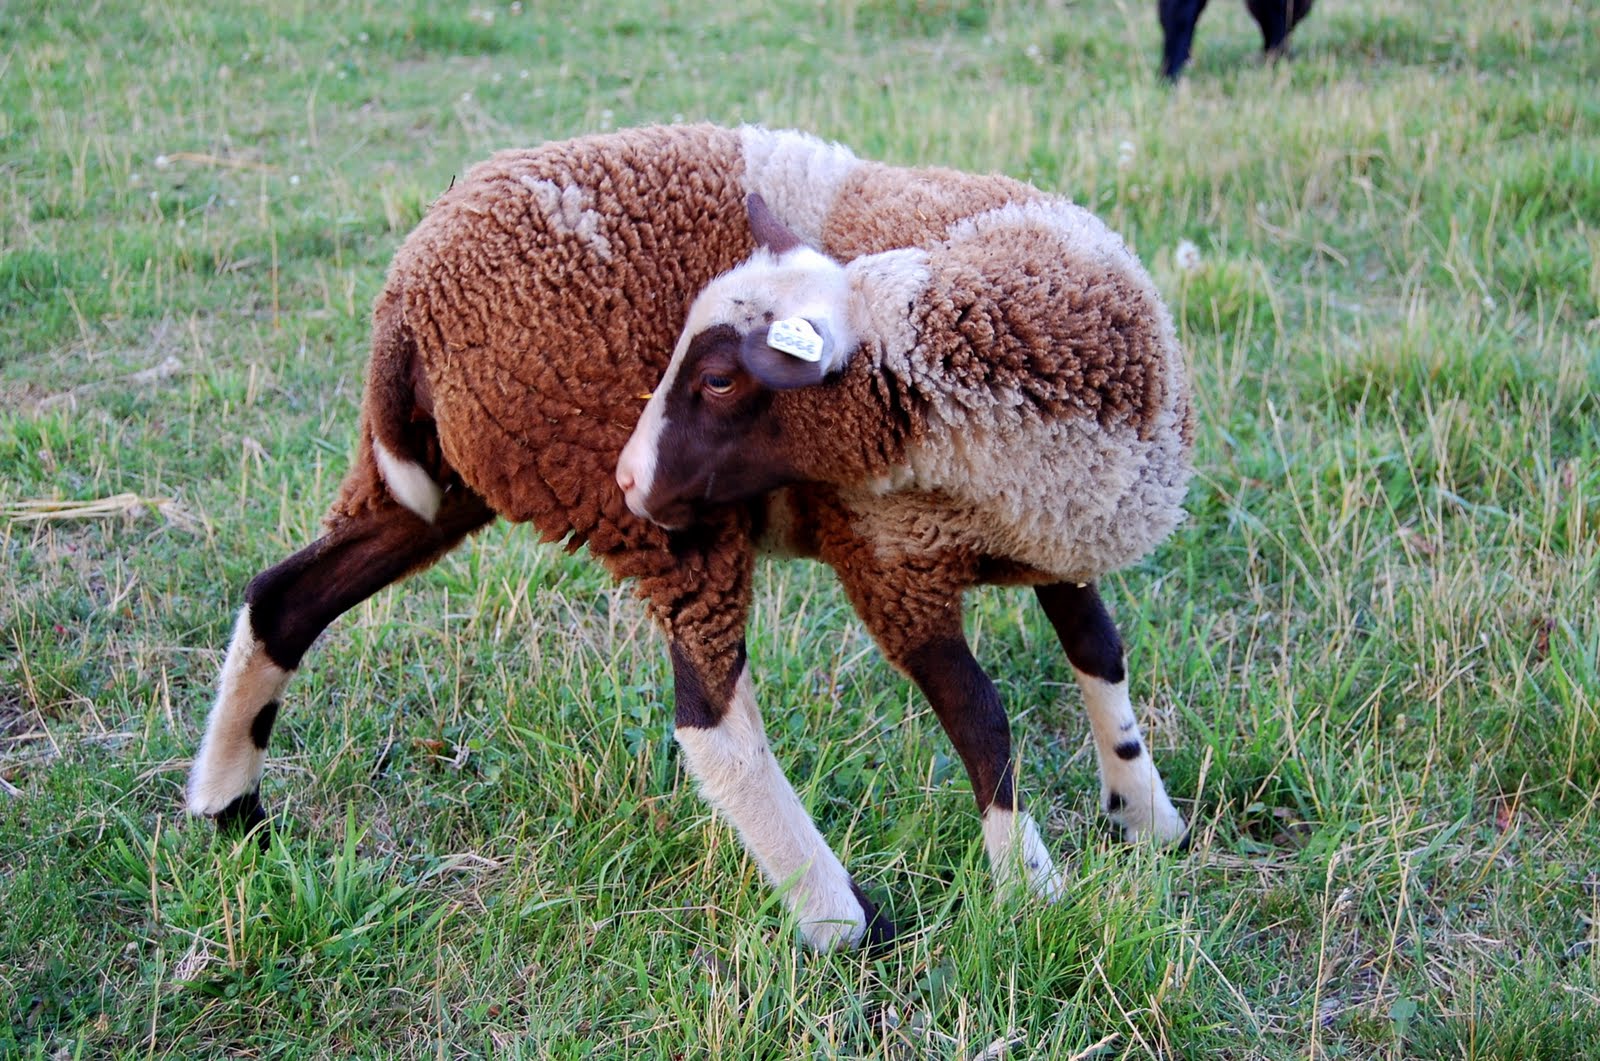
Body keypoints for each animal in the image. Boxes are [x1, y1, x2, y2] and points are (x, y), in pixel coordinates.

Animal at [186, 122, 1065, 951]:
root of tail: (405, 301)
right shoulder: (899, 552)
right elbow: (980, 711)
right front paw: (1034, 891)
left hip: (437, 477)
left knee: (284, 597)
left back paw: (231, 810)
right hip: (657, 513)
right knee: (711, 720)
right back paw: (843, 923)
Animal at [616, 192, 1193, 904]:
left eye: (720, 379)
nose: (626, 479)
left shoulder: (1058, 530)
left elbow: (1099, 652)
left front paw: (1144, 812)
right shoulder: (897, 573)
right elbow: (980, 717)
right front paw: (1026, 879)